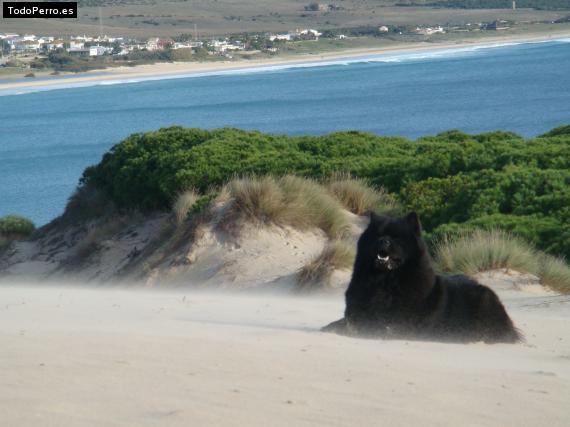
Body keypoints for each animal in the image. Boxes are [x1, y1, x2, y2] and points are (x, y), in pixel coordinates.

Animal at [322, 214, 520, 344]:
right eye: (377, 235)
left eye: (397, 238)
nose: (384, 240)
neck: (384, 281)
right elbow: (343, 323)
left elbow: (377, 328)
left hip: (484, 301)